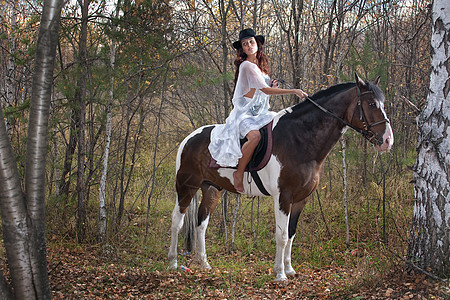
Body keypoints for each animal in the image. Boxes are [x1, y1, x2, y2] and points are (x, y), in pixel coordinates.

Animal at [169, 74, 394, 280]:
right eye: (372, 103)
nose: (388, 141)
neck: (299, 139)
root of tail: (189, 138)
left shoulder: (300, 199)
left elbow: (291, 234)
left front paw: (289, 269)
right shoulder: (283, 197)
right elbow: (282, 235)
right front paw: (280, 274)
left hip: (211, 189)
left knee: (201, 224)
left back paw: (204, 263)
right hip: (187, 186)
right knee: (177, 221)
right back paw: (173, 263)